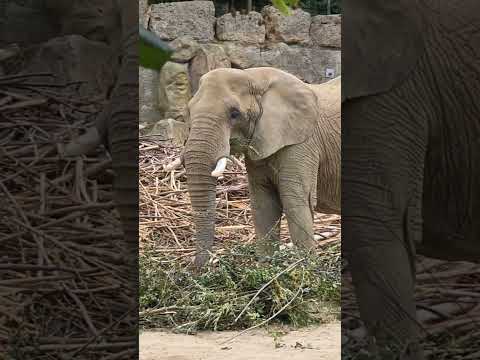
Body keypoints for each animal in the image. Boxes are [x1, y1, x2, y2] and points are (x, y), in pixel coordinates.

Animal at [165, 67, 342, 268]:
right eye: (189, 111)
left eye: (234, 113)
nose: (196, 270)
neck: (254, 76)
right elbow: (264, 204)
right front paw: (266, 269)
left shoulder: (302, 143)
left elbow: (295, 202)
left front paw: (305, 271)